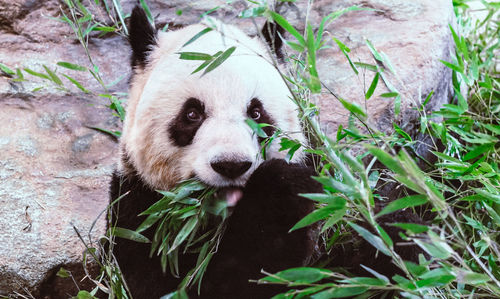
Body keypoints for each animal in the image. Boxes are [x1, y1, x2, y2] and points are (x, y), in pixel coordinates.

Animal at [108, 5, 322, 299]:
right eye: (192, 114)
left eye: (256, 113)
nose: (231, 164)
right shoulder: (138, 209)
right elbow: (169, 284)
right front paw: (277, 189)